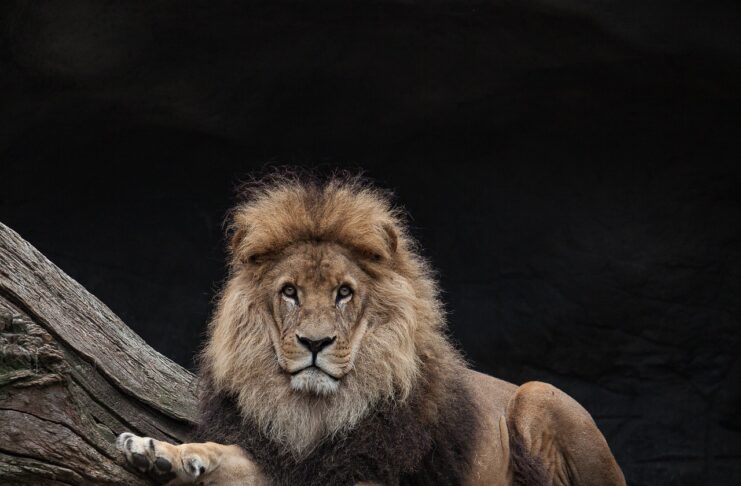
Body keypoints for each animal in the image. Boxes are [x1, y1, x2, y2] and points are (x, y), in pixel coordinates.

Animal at [116, 175, 626, 486]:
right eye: (289, 292)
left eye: (344, 292)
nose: (315, 343)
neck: (315, 413)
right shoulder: (288, 462)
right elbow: (227, 454)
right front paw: (158, 451)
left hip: (540, 395)